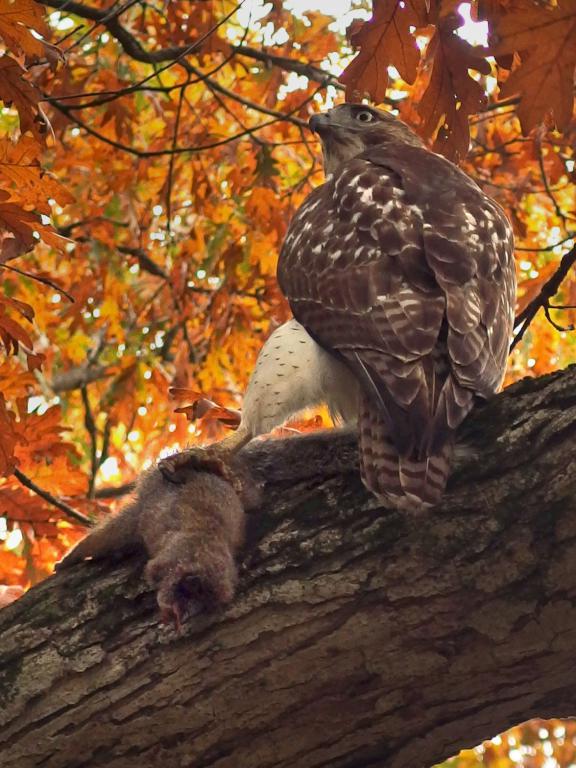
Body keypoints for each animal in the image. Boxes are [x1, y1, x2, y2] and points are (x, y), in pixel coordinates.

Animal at [55, 452, 258, 628]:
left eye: (202, 601)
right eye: (189, 593)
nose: (183, 611)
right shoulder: (173, 559)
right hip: (152, 487)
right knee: (121, 528)